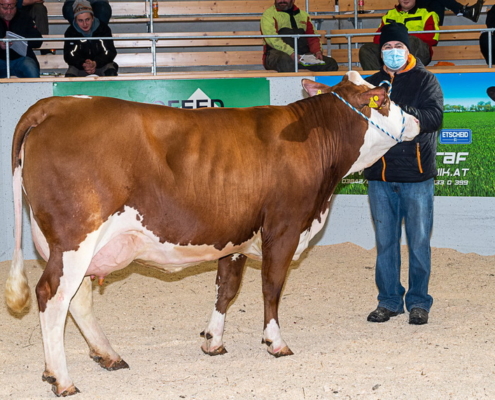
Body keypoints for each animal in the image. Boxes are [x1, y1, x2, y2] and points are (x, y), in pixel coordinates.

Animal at [5, 70, 420, 396]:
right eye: (384, 99)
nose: (416, 120)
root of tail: (56, 105)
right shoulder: (283, 228)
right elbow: (272, 287)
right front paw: (276, 342)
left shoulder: (235, 235)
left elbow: (226, 288)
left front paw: (213, 342)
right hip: (75, 237)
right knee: (52, 295)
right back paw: (62, 379)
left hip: (71, 244)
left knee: (77, 299)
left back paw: (107, 355)